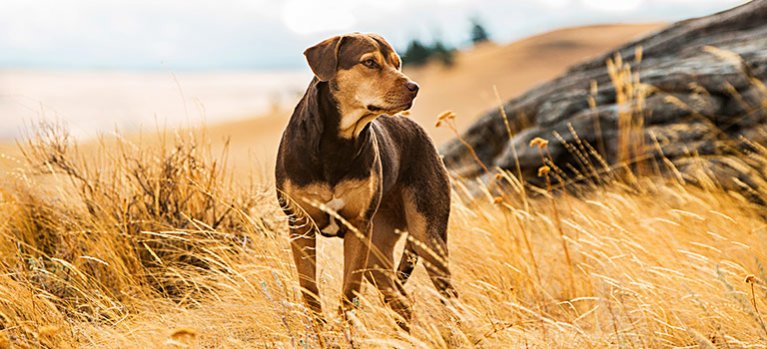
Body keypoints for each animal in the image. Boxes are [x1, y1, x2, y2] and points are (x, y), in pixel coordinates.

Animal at [276, 33, 456, 328]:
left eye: (397, 63)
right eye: (369, 62)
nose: (414, 87)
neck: (337, 143)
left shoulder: (358, 228)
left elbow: (349, 293)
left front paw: (343, 331)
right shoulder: (300, 225)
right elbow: (310, 292)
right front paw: (320, 332)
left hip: (426, 237)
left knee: (448, 297)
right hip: (377, 251)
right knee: (401, 300)